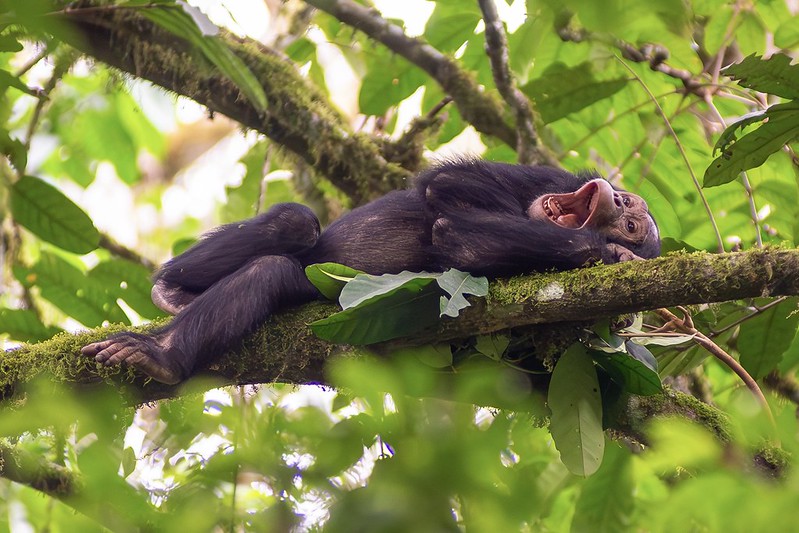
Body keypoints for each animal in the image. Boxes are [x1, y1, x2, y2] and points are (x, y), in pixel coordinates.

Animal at [81, 158, 660, 382]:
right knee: (296, 222)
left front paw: (613, 257)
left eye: (633, 226)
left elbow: (462, 244)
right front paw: (607, 251)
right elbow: (449, 195)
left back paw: (162, 358)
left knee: (269, 274)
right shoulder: (538, 175)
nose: (614, 202)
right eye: (629, 206)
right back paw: (169, 291)